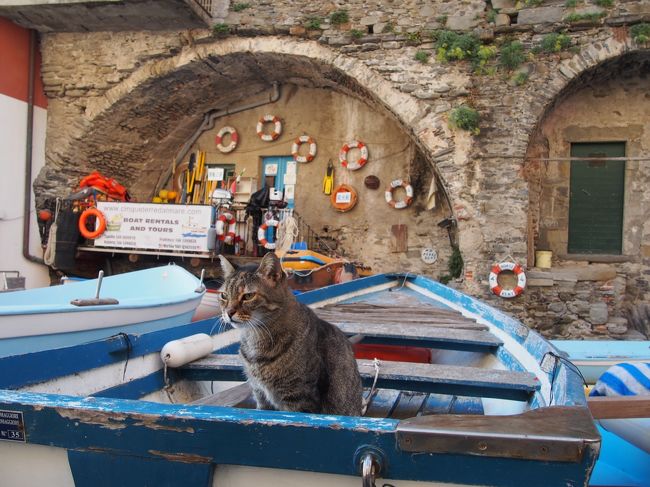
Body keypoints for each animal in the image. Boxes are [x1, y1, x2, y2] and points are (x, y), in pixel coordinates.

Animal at [216, 254, 360, 418]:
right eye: (224, 295)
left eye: (248, 296)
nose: (228, 312)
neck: (254, 337)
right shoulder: (260, 394)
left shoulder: (299, 399)